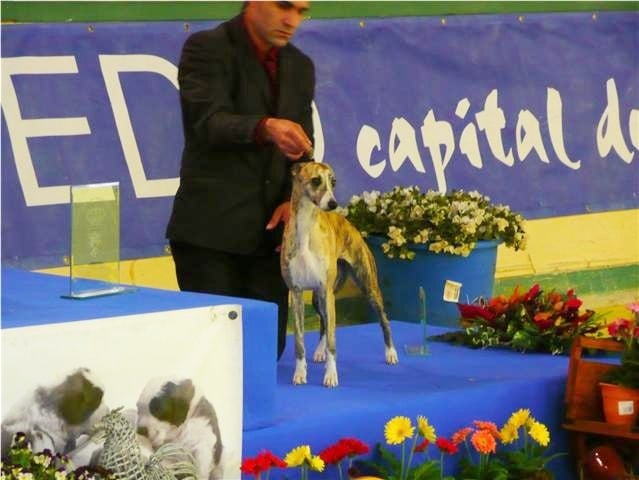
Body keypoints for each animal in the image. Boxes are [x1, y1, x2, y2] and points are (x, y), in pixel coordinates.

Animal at [281, 161, 398, 387]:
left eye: (333, 182)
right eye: (316, 180)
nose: (332, 203)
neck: (306, 230)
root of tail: (348, 222)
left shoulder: (326, 291)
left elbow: (333, 342)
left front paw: (331, 375)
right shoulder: (297, 293)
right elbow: (299, 341)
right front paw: (300, 373)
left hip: (367, 287)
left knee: (384, 321)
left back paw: (391, 353)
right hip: (318, 297)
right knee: (324, 323)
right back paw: (319, 351)